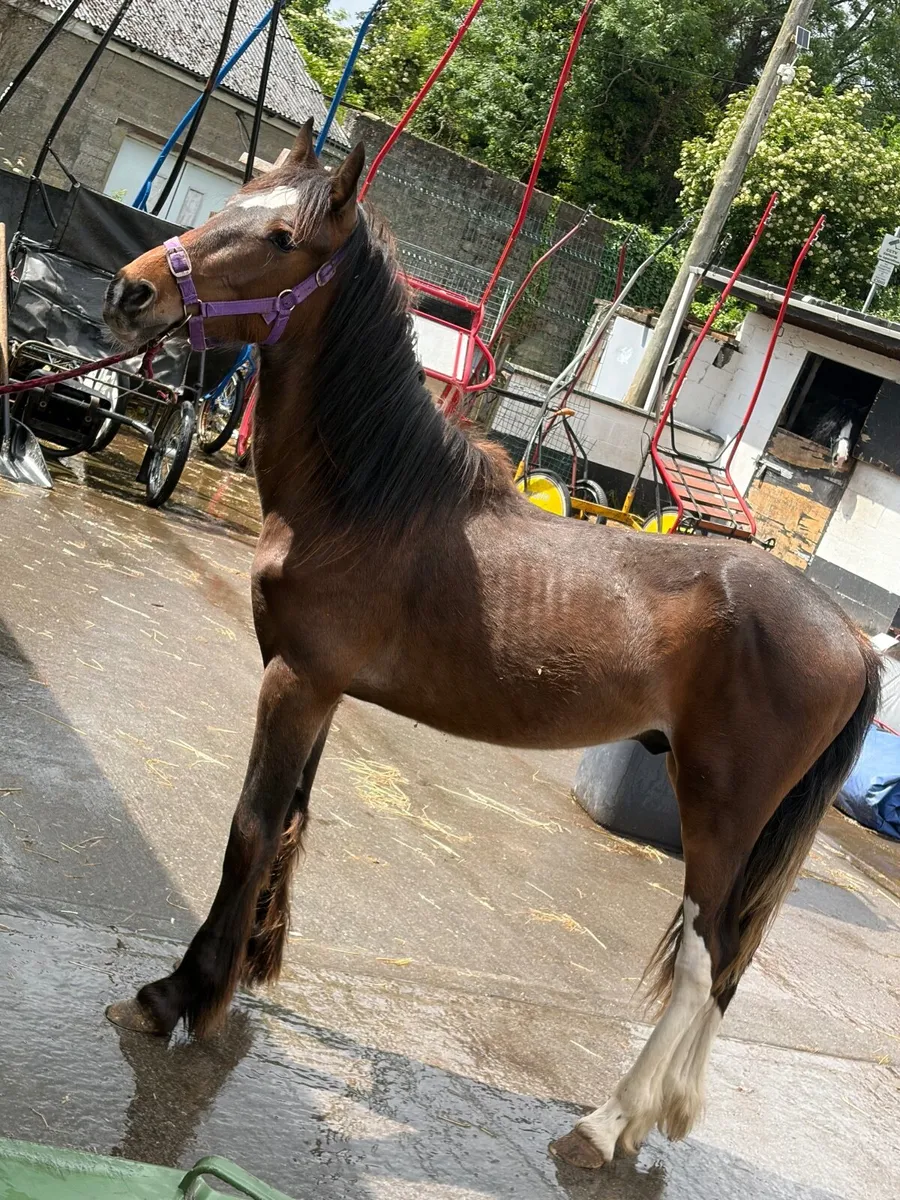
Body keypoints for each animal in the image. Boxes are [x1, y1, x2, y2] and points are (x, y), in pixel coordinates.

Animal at [102, 121, 880, 1168]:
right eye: (232, 201)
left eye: (280, 239)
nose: (130, 293)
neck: (367, 503)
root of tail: (852, 638)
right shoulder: (319, 690)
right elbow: (292, 822)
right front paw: (252, 971)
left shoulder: (294, 682)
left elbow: (252, 827)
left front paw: (181, 995)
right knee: (723, 970)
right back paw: (658, 1116)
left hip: (722, 812)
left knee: (703, 958)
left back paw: (607, 1123)